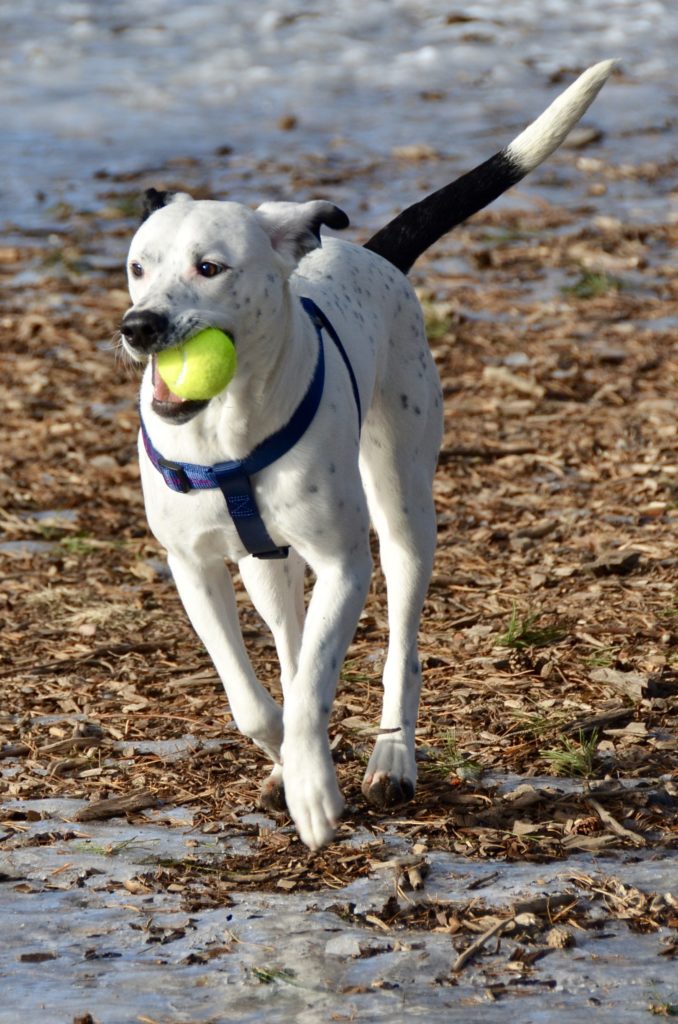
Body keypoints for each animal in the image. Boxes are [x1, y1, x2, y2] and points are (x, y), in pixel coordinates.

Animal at [120, 61, 614, 847]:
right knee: (289, 647)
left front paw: (315, 791)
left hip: (404, 511)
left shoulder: (344, 564)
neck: (226, 429)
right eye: (138, 266)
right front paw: (290, 767)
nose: (140, 326)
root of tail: (373, 251)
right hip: (266, 565)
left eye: (210, 267)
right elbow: (258, 701)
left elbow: (315, 683)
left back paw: (391, 759)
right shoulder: (192, 565)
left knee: (401, 650)